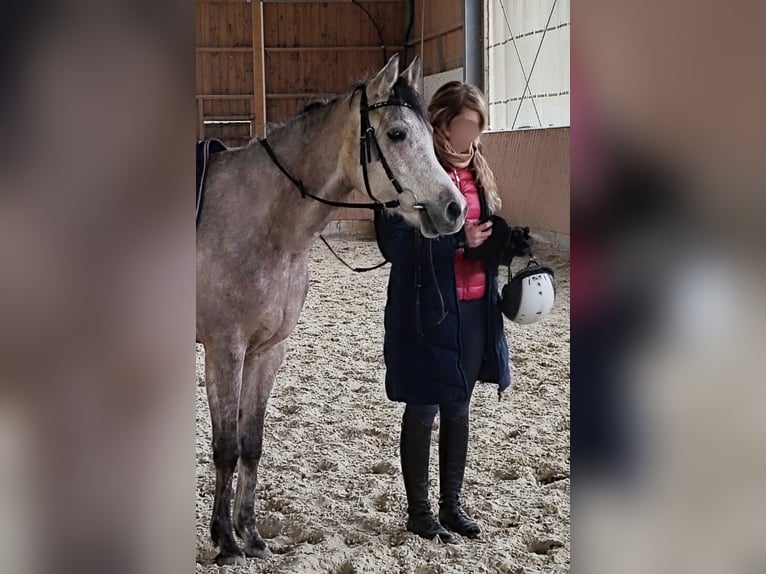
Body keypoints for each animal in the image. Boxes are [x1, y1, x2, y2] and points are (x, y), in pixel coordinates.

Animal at [196, 54, 467, 565]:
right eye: (398, 133)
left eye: (430, 131)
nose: (454, 208)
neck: (258, 222)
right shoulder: (225, 351)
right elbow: (224, 447)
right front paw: (225, 541)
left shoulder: (268, 351)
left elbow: (250, 443)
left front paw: (251, 535)